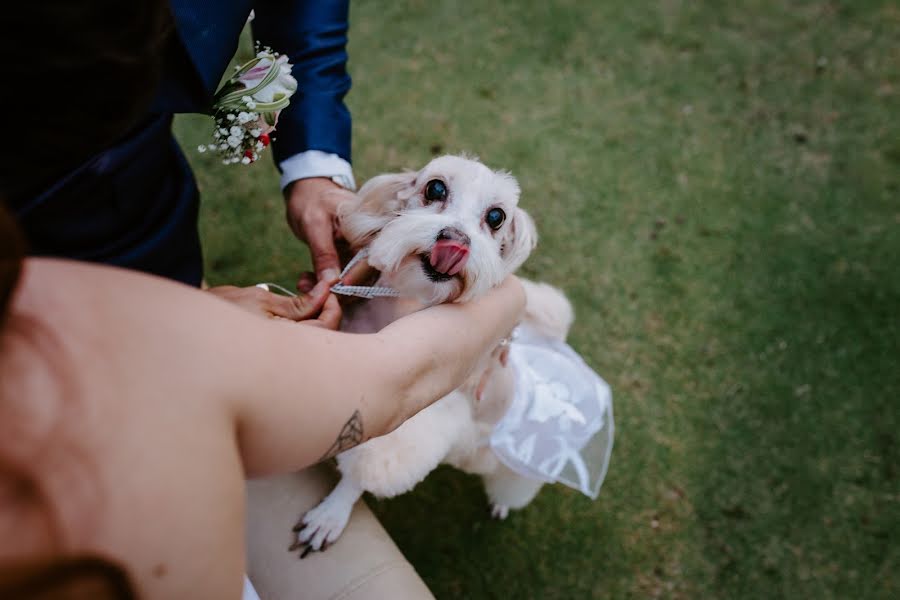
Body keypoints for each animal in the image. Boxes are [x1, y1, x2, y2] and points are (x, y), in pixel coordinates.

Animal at [298, 155, 576, 552]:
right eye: (436, 188)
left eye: (496, 216)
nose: (455, 241)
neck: (403, 308)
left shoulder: (407, 420)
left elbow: (365, 466)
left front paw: (331, 513)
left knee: (515, 484)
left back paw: (502, 503)